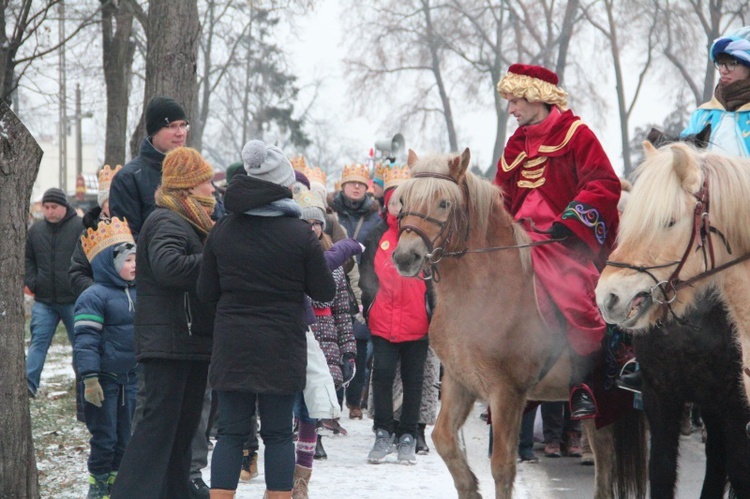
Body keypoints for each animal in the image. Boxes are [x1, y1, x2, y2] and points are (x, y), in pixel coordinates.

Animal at [394, 148, 648, 499]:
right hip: (601, 403)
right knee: (604, 455)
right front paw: (470, 487)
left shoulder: (507, 392)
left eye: (443, 203)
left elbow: (502, 466)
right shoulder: (459, 382)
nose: (405, 257)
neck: (482, 293)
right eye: (402, 200)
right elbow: (443, 439)